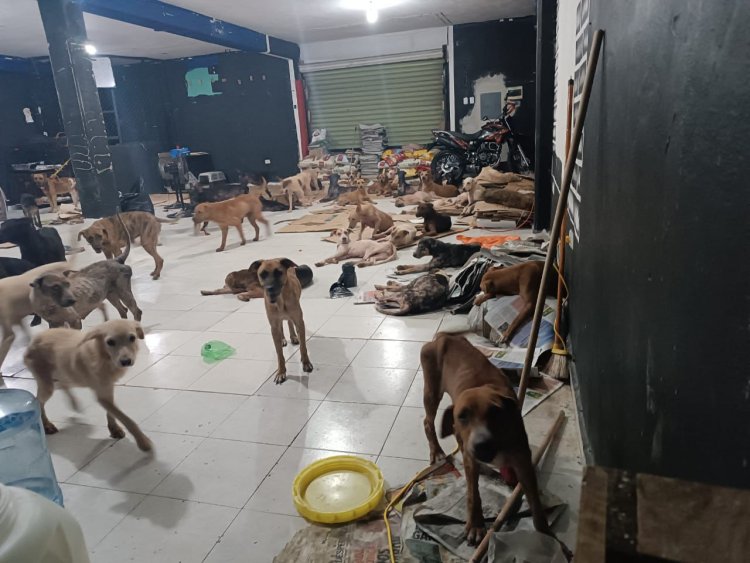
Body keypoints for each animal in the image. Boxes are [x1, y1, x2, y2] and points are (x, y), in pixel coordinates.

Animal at [24, 320, 153, 452]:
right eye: (110, 342)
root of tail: (33, 340)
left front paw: (114, 429)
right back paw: (46, 425)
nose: (126, 361)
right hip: (47, 384)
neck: (103, 356)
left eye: (132, 338)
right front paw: (143, 442)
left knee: (62, 385)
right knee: (39, 401)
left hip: (63, 373)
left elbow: (112, 413)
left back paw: (74, 404)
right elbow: (126, 419)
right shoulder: (102, 396)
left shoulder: (108, 388)